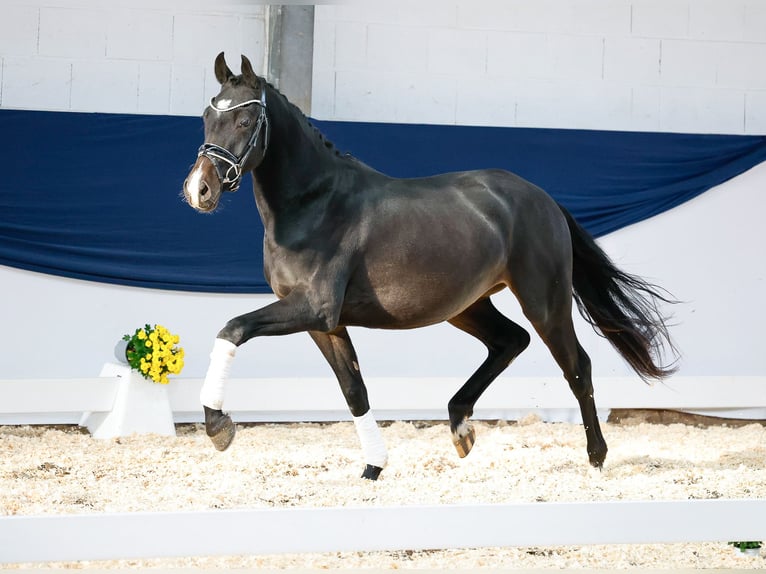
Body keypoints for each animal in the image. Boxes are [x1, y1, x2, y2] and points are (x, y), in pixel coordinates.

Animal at [184, 53, 680, 482]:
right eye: (208, 117)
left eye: (245, 121)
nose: (199, 189)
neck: (314, 203)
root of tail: (543, 198)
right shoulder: (323, 322)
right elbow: (354, 392)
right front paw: (373, 468)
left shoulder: (315, 308)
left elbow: (232, 329)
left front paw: (218, 426)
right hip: (466, 305)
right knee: (510, 341)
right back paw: (461, 428)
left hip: (544, 300)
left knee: (576, 365)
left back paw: (596, 458)